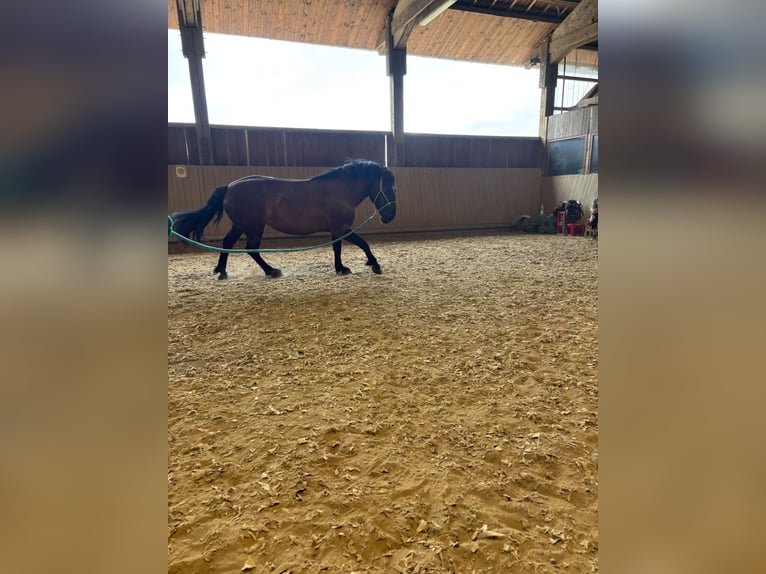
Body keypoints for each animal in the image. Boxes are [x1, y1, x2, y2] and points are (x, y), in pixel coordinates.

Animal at [170, 159, 397, 279]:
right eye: (388, 189)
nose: (390, 216)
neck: (340, 191)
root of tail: (229, 187)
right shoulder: (342, 227)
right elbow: (362, 243)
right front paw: (371, 265)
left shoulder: (337, 229)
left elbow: (338, 248)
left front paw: (344, 267)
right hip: (253, 228)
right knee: (251, 249)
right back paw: (271, 271)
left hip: (241, 225)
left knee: (228, 243)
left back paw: (222, 271)